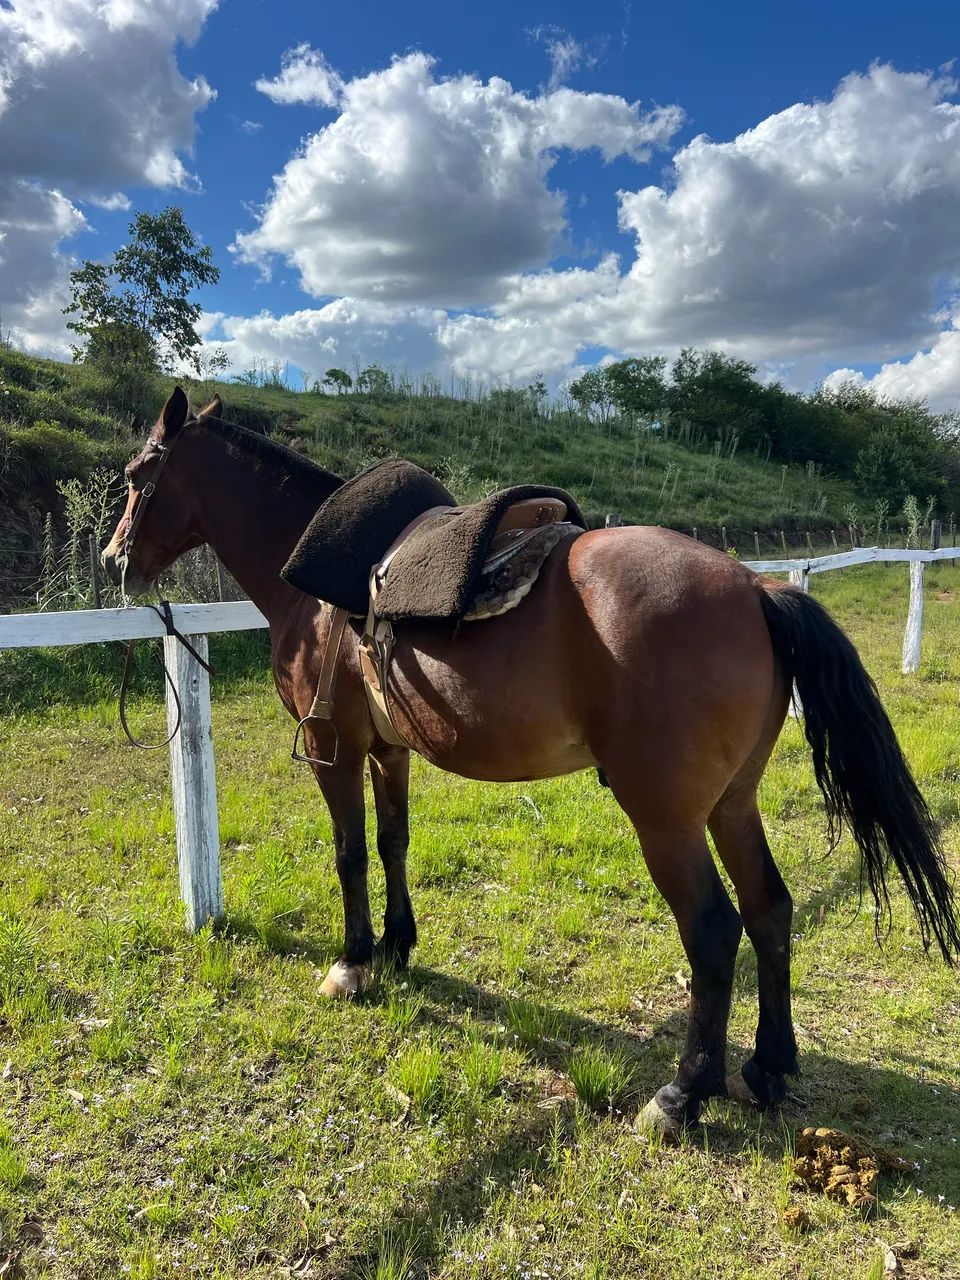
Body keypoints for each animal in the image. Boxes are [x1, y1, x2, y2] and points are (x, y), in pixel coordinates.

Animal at [101, 387, 960, 1141]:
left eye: (140, 475)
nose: (114, 560)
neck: (317, 594)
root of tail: (755, 587)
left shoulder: (332, 749)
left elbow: (348, 854)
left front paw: (352, 964)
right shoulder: (389, 751)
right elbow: (392, 842)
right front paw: (399, 945)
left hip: (667, 819)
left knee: (715, 930)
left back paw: (681, 1097)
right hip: (731, 803)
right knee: (771, 909)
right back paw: (769, 1067)